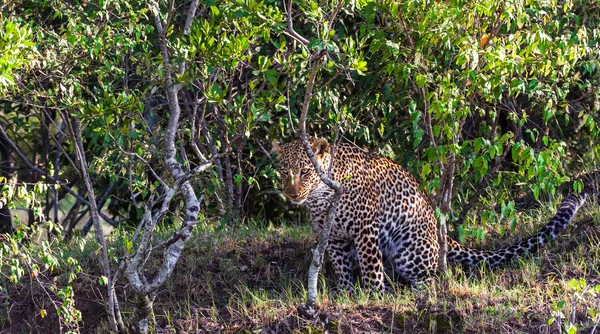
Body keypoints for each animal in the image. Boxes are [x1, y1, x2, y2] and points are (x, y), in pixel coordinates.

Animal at [274, 136, 592, 292]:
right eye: (283, 172)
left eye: (304, 172)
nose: (291, 194)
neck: (321, 199)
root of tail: (442, 236)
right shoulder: (335, 236)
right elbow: (342, 267)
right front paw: (345, 293)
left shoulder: (365, 230)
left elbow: (370, 267)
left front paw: (374, 295)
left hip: (407, 250)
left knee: (432, 278)